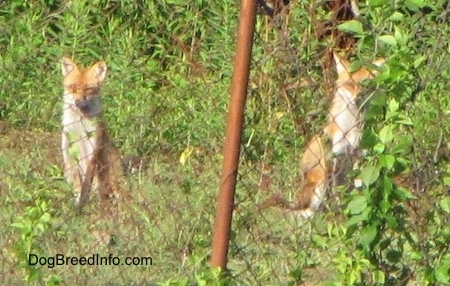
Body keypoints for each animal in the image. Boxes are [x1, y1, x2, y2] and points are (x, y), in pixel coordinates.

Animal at [60, 57, 123, 211]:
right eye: (73, 87)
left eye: (88, 89)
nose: (78, 100)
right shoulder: (69, 149)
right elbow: (78, 184)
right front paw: (78, 203)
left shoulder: (92, 149)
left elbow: (88, 184)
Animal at [260, 52, 384, 217]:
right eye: (349, 85)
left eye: (365, 85)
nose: (357, 98)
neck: (350, 129)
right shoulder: (334, 157)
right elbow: (336, 193)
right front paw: (341, 213)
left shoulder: (357, 155)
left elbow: (359, 186)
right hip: (319, 181)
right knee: (307, 211)